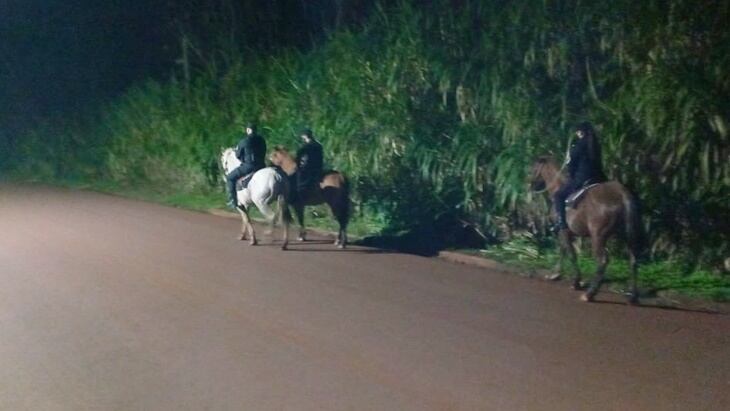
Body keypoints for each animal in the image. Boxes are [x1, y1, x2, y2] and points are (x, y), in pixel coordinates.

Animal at [528, 156, 640, 304]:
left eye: (534, 168)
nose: (531, 186)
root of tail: (622, 195)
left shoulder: (563, 231)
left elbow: (570, 254)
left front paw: (576, 282)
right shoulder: (567, 232)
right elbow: (563, 250)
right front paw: (556, 274)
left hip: (598, 236)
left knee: (602, 260)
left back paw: (590, 294)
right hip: (627, 235)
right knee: (633, 260)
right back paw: (633, 296)